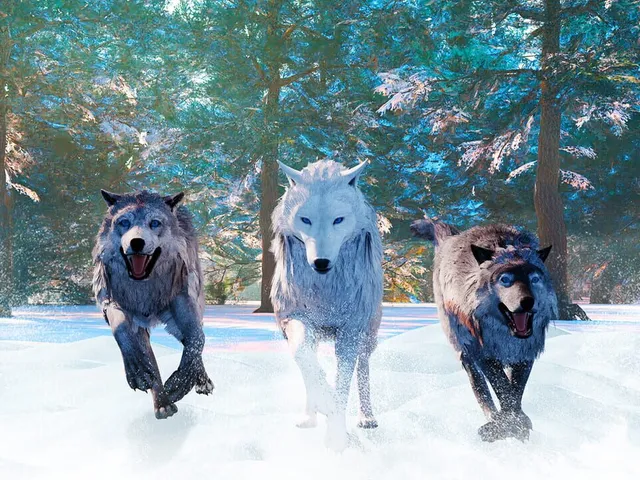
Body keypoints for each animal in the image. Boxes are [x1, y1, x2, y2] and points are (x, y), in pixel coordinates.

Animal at [92, 190, 214, 419]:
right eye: (124, 222)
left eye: (155, 223)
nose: (136, 242)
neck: (146, 291)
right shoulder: (114, 304)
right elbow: (123, 334)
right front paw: (139, 373)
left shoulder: (184, 305)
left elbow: (196, 340)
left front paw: (180, 383)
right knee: (151, 359)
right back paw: (163, 403)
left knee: (193, 342)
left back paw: (201, 381)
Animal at [271, 160, 383, 451]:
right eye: (305, 219)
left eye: (338, 220)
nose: (320, 262)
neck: (325, 292)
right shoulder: (295, 318)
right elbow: (304, 358)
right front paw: (323, 405)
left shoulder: (350, 330)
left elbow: (343, 382)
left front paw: (336, 436)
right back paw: (309, 416)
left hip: (368, 333)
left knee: (363, 366)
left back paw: (367, 418)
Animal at [411, 218, 557, 442]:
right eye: (505, 279)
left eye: (535, 279)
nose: (527, 302)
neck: (505, 336)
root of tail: (450, 239)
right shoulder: (483, 353)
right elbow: (502, 387)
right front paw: (507, 425)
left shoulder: (525, 354)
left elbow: (516, 389)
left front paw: (517, 423)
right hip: (464, 351)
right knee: (479, 387)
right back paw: (492, 419)